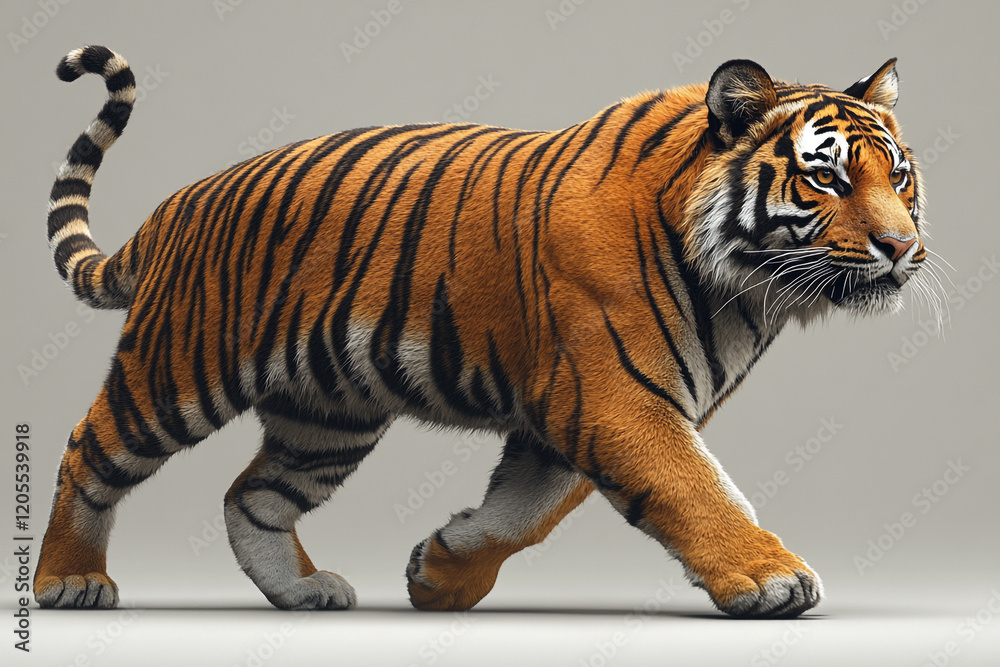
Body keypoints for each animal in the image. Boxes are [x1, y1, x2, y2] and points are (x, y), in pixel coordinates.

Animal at [35, 45, 926, 618]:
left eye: (900, 176)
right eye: (826, 177)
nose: (902, 246)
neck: (747, 290)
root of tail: (174, 205)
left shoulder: (574, 408)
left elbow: (523, 511)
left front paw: (438, 577)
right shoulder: (617, 397)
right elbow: (694, 487)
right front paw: (771, 577)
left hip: (327, 414)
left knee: (250, 494)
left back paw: (303, 591)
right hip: (177, 371)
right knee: (89, 448)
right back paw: (68, 582)